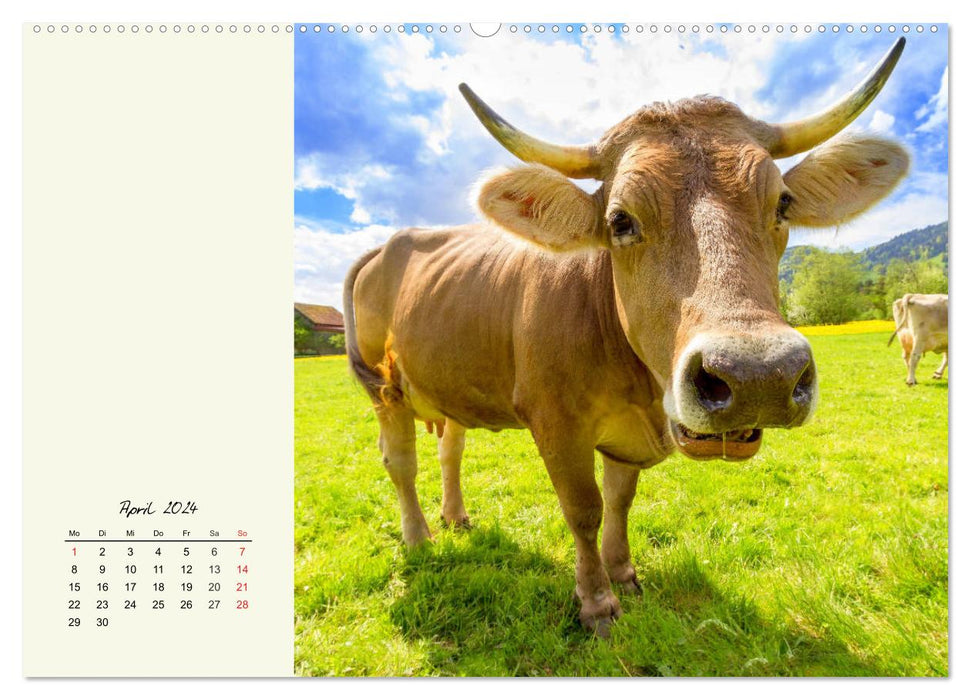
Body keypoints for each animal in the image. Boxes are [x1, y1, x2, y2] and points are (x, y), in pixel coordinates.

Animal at [342, 41, 912, 636]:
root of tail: (392, 242)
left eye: (782, 203)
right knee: (400, 462)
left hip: (448, 381)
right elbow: (584, 509)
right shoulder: (555, 423)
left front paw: (624, 575)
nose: (759, 376)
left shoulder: (625, 437)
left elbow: (619, 501)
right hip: (384, 389)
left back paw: (455, 517)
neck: (638, 388)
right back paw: (419, 537)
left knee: (450, 447)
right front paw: (596, 601)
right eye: (620, 220)